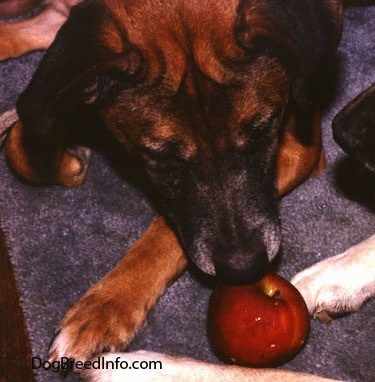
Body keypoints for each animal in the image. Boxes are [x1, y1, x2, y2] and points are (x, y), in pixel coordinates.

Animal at [2, 0, 374, 382]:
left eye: (262, 130)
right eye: (160, 156)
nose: (244, 268)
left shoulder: (300, 148)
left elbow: (163, 231)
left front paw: (106, 307)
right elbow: (25, 134)